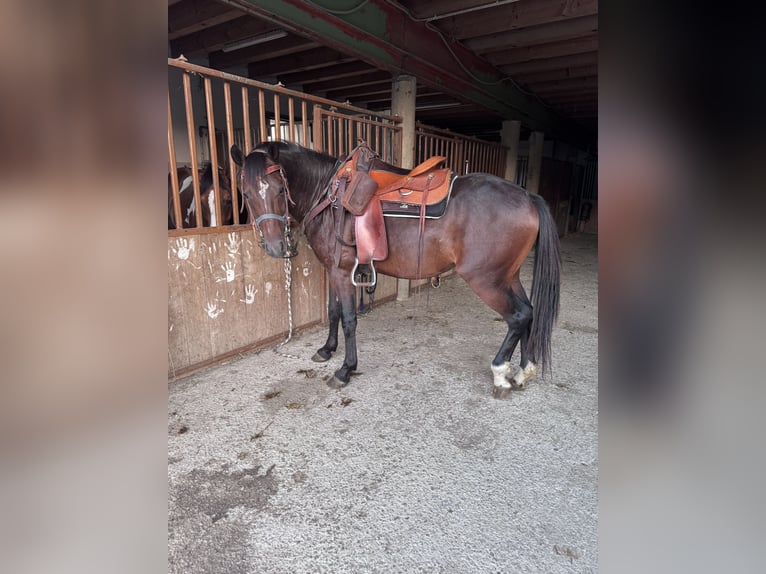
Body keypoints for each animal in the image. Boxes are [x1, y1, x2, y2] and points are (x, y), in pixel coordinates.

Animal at [231, 141, 560, 399]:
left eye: (279, 188)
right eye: (245, 193)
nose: (275, 247)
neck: (327, 195)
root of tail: (527, 197)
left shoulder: (343, 272)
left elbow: (348, 319)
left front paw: (345, 369)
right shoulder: (333, 270)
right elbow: (333, 312)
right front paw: (326, 350)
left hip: (487, 280)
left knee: (518, 316)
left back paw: (501, 373)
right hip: (508, 276)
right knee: (529, 312)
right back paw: (523, 371)